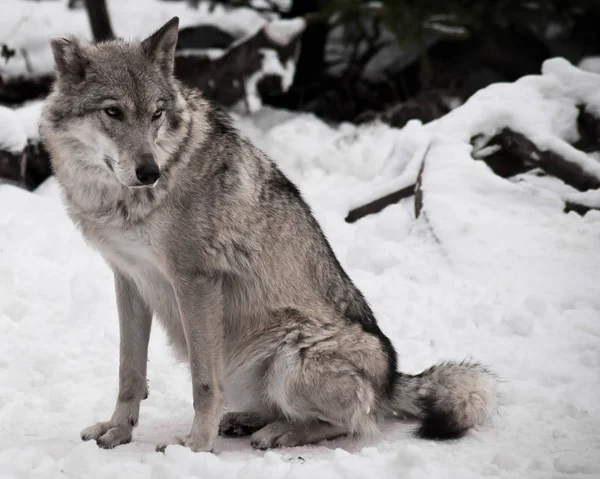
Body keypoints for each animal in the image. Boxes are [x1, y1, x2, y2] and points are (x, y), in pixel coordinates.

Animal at [38, 17, 496, 454]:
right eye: (113, 112)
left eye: (156, 113)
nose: (149, 172)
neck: (121, 203)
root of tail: (391, 379)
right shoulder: (129, 279)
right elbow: (129, 371)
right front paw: (118, 431)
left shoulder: (196, 282)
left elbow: (203, 384)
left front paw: (196, 446)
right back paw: (246, 421)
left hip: (290, 362)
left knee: (355, 423)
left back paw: (278, 434)